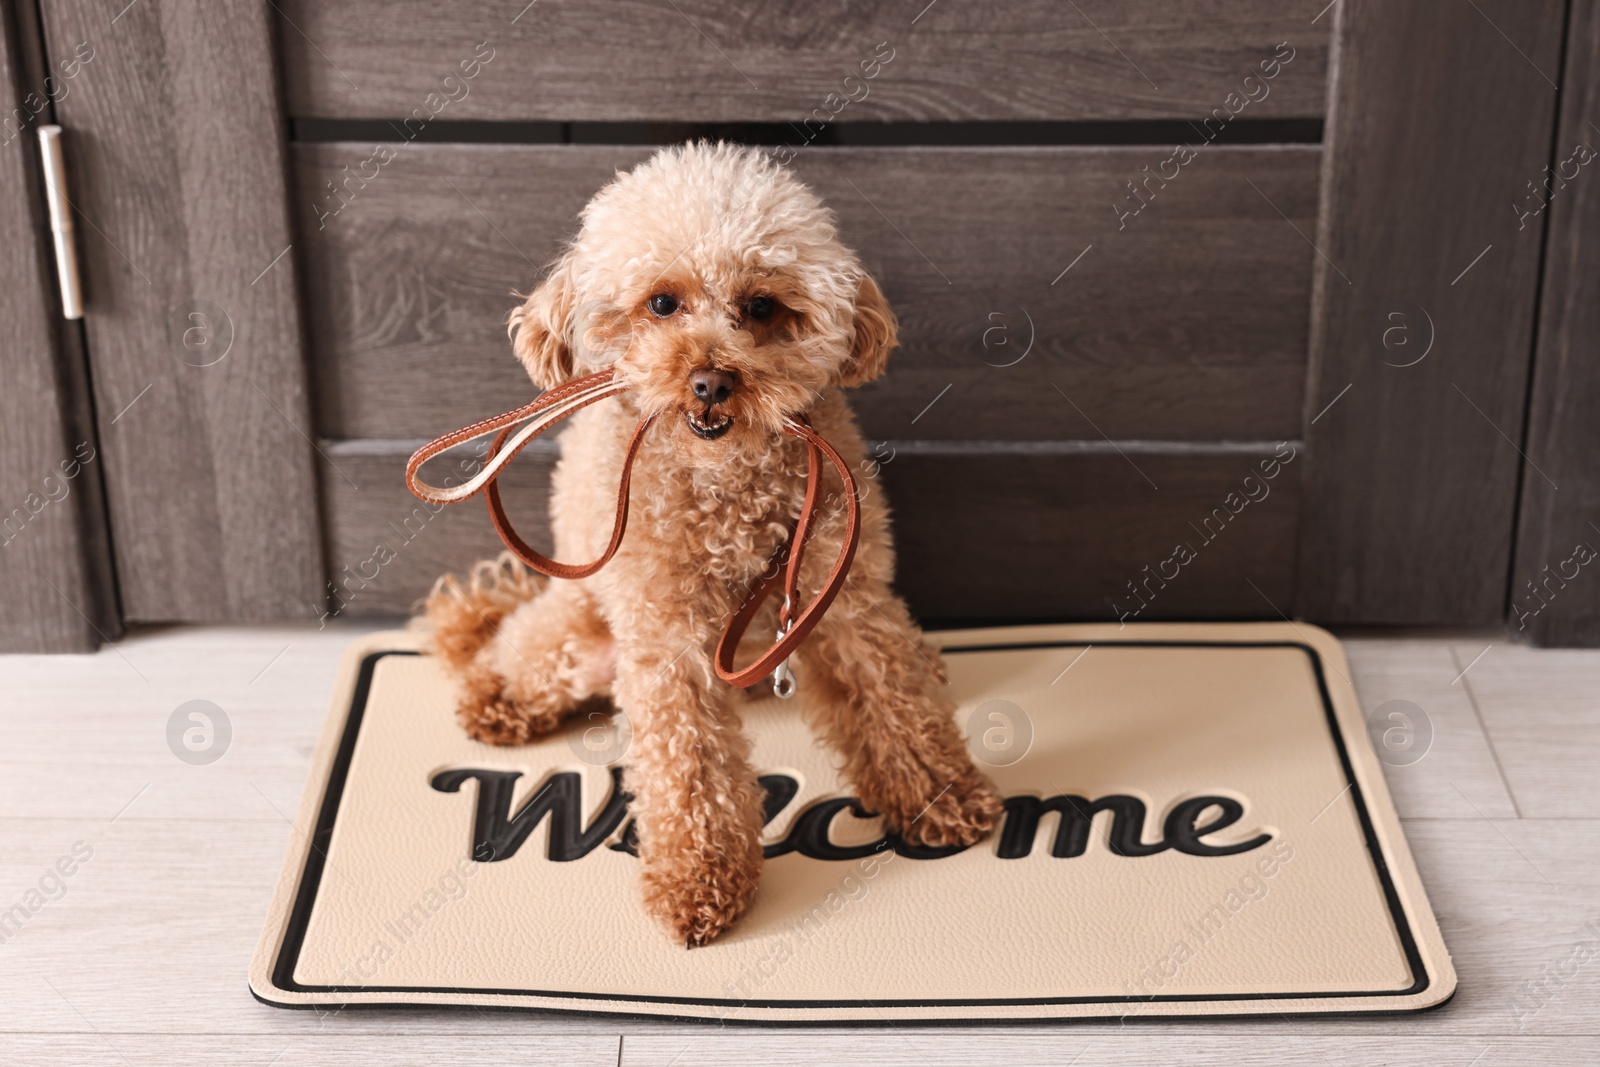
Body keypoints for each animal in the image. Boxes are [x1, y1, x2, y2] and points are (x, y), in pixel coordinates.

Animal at [422, 139, 998, 940]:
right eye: (662, 303)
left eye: (760, 307)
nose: (710, 380)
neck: (727, 484)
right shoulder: (669, 643)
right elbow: (688, 769)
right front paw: (696, 881)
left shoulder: (844, 596)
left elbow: (893, 698)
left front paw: (941, 794)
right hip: (579, 630)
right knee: (517, 643)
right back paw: (493, 693)